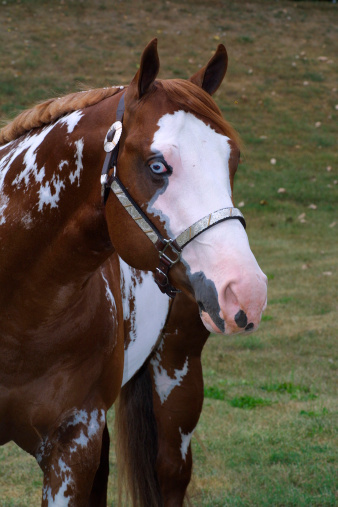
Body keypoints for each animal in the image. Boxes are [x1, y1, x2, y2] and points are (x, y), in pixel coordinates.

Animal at [0, 37, 266, 506]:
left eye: (232, 160)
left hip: (177, 375)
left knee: (170, 473)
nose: (246, 291)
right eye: (157, 165)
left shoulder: (72, 444)